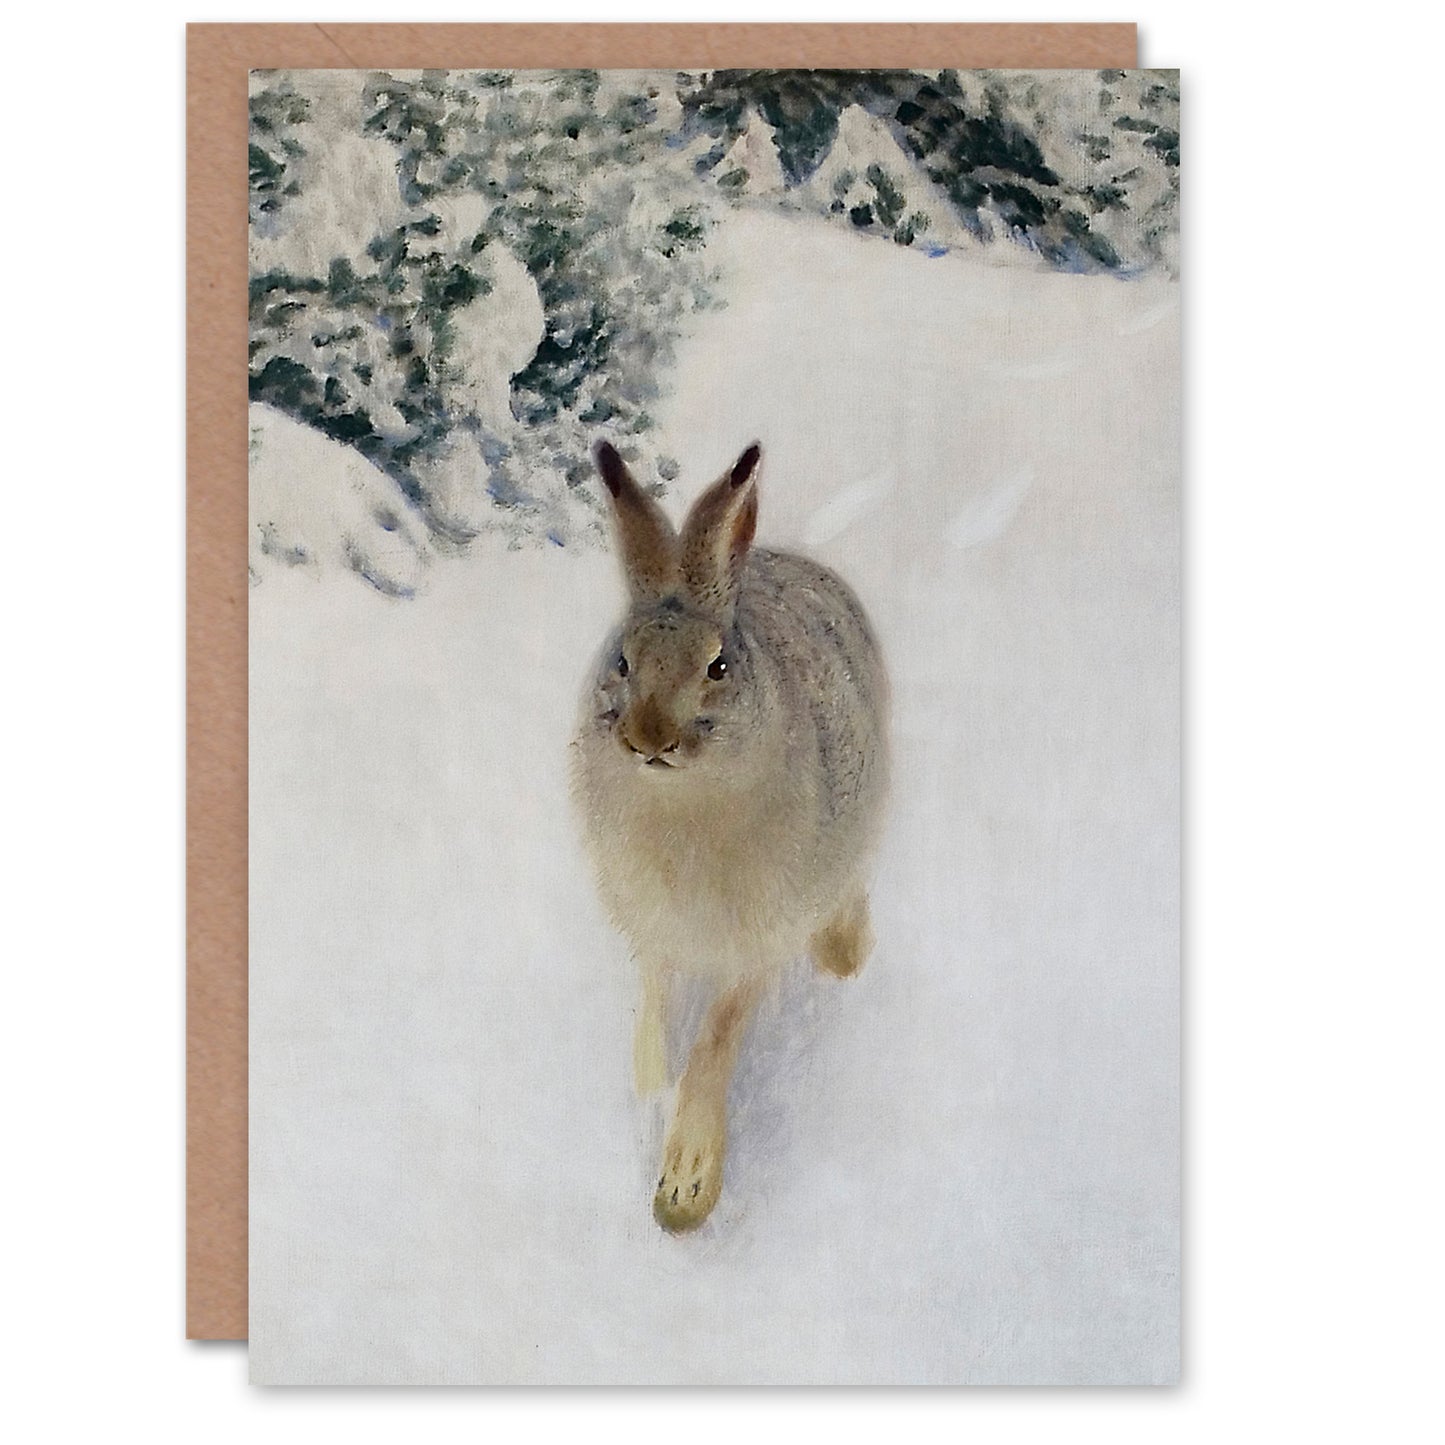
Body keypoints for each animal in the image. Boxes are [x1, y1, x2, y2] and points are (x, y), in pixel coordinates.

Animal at [571, 439, 890, 1233]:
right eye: (622, 661)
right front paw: (646, 1093)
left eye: (717, 666)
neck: (684, 804)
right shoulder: (653, 926)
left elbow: (717, 1037)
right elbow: (655, 1005)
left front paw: (685, 1184)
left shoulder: (761, 937)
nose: (649, 737)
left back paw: (844, 954)